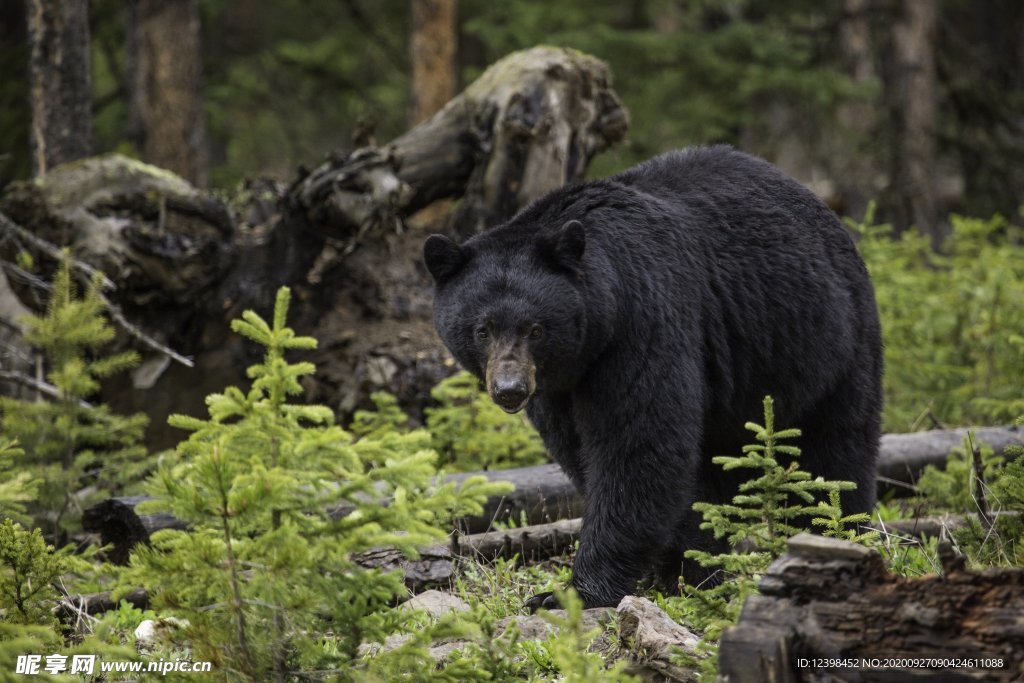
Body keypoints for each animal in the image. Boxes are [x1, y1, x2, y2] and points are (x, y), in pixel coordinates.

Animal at [421, 145, 880, 610]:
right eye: (482, 329)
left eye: (535, 328)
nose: (510, 390)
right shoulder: (560, 385)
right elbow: (583, 450)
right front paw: (682, 566)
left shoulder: (643, 321)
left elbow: (638, 445)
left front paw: (573, 592)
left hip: (827, 343)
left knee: (834, 451)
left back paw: (834, 534)